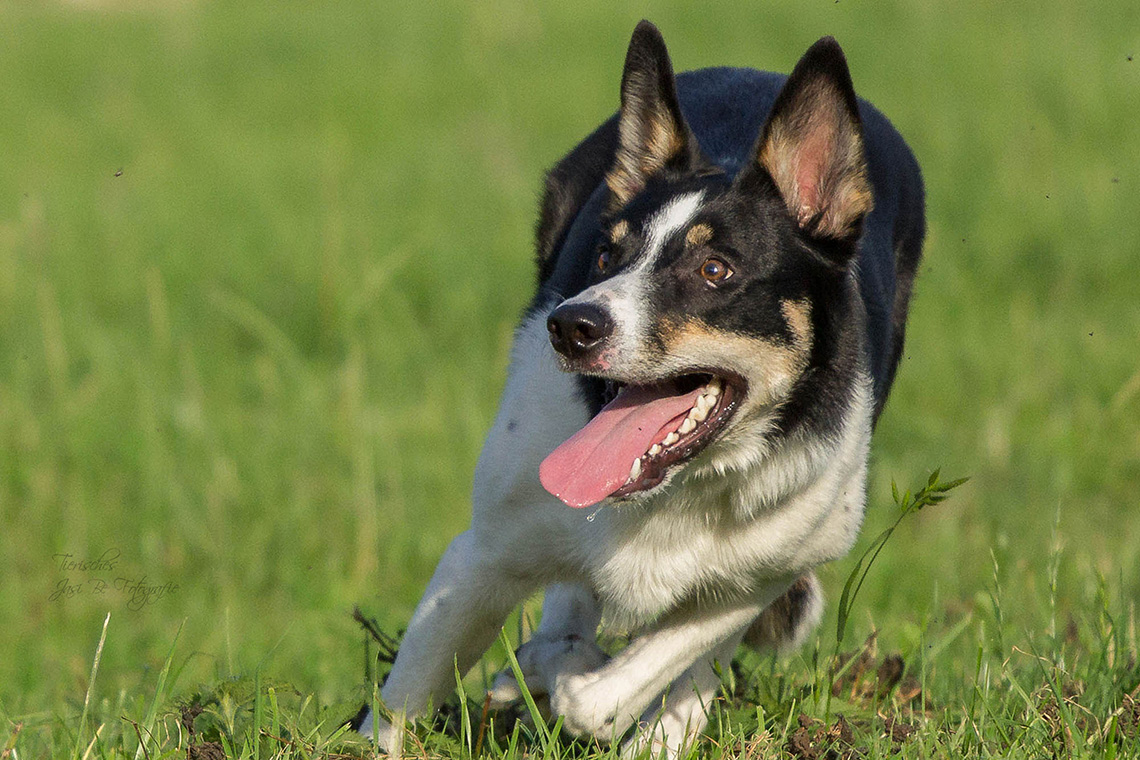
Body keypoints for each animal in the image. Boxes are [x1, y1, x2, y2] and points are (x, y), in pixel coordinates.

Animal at [357, 20, 925, 756]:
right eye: (605, 256)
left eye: (714, 269)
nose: (572, 325)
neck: (673, 490)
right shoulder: (482, 553)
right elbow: (402, 699)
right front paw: (541, 670)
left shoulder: (771, 565)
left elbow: (620, 688)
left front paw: (602, 699)